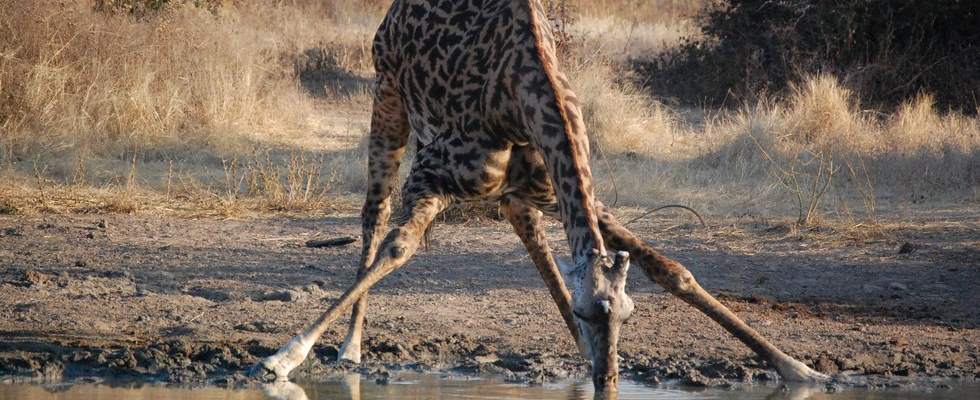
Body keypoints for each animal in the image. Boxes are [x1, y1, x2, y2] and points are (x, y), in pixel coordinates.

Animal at [252, 0, 828, 392]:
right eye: (591, 312)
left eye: (627, 315)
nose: (609, 382)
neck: (527, 91)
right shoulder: (432, 176)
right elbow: (400, 247)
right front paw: (284, 357)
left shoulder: (560, 187)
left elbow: (672, 269)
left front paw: (798, 367)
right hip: (387, 95)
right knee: (374, 216)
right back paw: (349, 346)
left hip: (517, 189)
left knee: (529, 235)